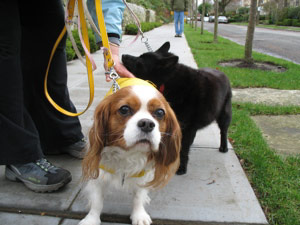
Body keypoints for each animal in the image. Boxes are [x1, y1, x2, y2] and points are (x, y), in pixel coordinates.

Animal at [78, 79, 180, 225]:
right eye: (124, 109)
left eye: (160, 112)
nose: (147, 124)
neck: (128, 153)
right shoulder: (99, 173)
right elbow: (97, 201)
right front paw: (91, 219)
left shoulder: (143, 174)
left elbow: (138, 196)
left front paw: (139, 214)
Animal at [122, 42, 232, 176]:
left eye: (140, 61)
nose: (123, 55)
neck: (167, 82)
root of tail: (221, 72)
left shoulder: (187, 127)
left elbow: (183, 150)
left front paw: (181, 167)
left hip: (224, 115)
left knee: (223, 131)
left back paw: (224, 147)